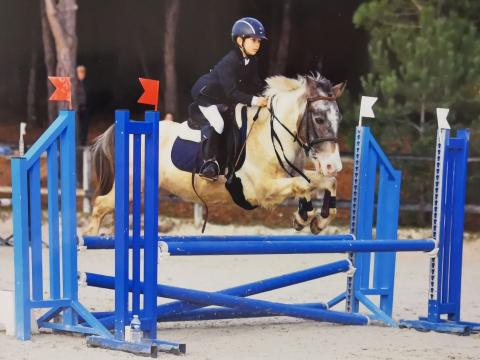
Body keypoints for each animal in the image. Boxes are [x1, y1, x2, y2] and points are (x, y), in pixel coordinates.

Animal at [84, 74, 344, 235]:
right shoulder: (262, 190)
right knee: (99, 206)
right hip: (130, 185)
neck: (270, 136)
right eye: (319, 119)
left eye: (338, 118)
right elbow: (303, 184)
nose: (334, 165)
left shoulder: (289, 175)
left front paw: (318, 221)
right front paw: (306, 217)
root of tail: (126, 131)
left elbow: (322, 182)